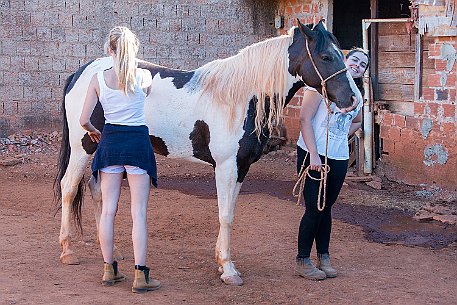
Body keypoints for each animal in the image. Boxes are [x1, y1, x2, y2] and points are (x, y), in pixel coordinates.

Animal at [54, 19, 360, 284]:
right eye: (326, 56)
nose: (353, 99)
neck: (240, 97)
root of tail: (82, 72)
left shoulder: (241, 167)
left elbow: (231, 212)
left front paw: (221, 261)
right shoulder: (225, 166)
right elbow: (224, 214)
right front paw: (228, 269)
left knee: (96, 190)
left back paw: (111, 251)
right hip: (83, 147)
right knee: (69, 187)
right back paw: (67, 251)